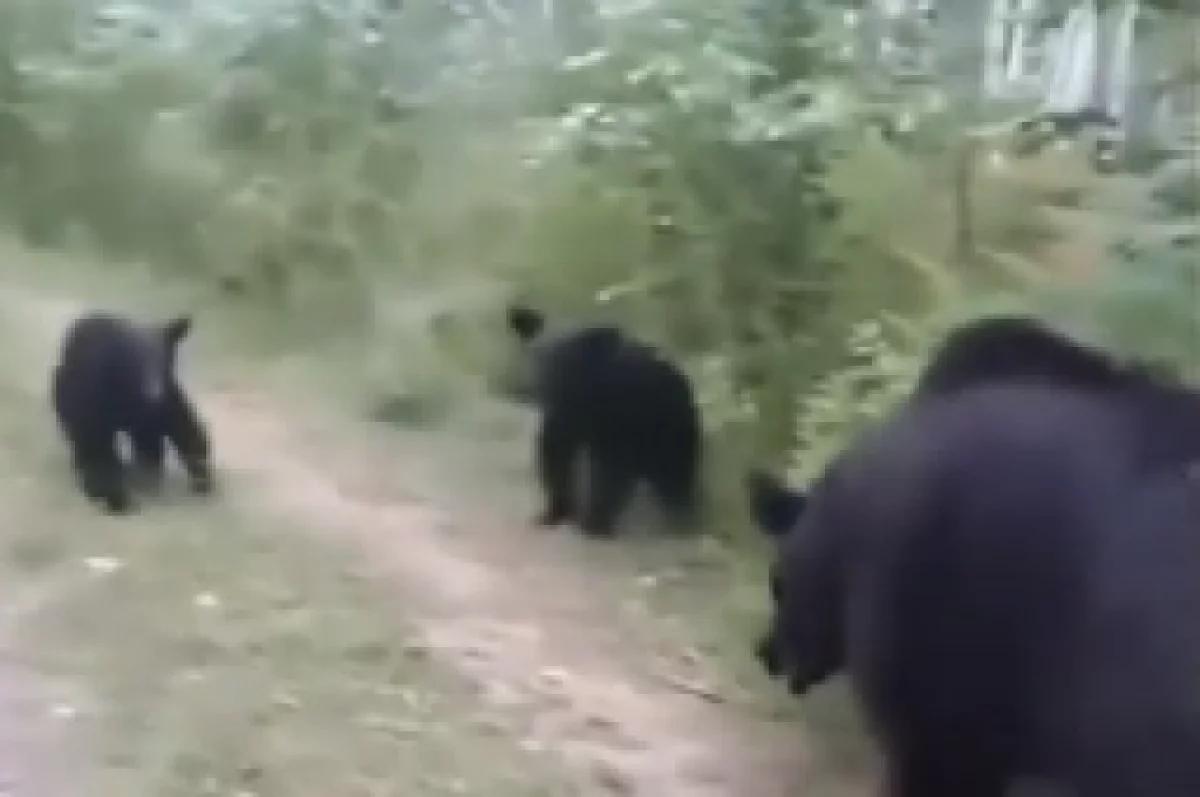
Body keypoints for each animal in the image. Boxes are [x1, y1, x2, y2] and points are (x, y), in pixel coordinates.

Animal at [52, 307, 214, 513]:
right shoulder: (93, 395)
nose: (154, 393)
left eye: (164, 362)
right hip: (63, 386)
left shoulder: (163, 395)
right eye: (136, 362)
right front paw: (113, 495)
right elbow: (96, 444)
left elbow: (172, 424)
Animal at [499, 302, 700, 537]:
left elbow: (611, 470)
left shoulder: (617, 417)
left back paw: (679, 517)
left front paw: (594, 523)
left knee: (675, 475)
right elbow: (556, 457)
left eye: (565, 359)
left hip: (673, 428)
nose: (542, 386)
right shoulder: (562, 420)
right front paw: (554, 513)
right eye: (539, 356)